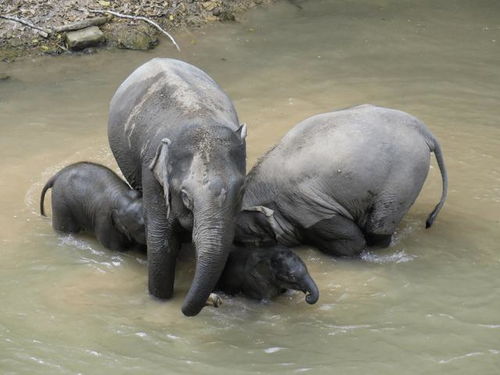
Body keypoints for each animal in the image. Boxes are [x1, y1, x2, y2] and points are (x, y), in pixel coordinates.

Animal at [235, 106, 450, 258]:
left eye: (245, 240)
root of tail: (424, 131)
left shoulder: (305, 205)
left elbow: (353, 241)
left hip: (405, 174)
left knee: (378, 228)